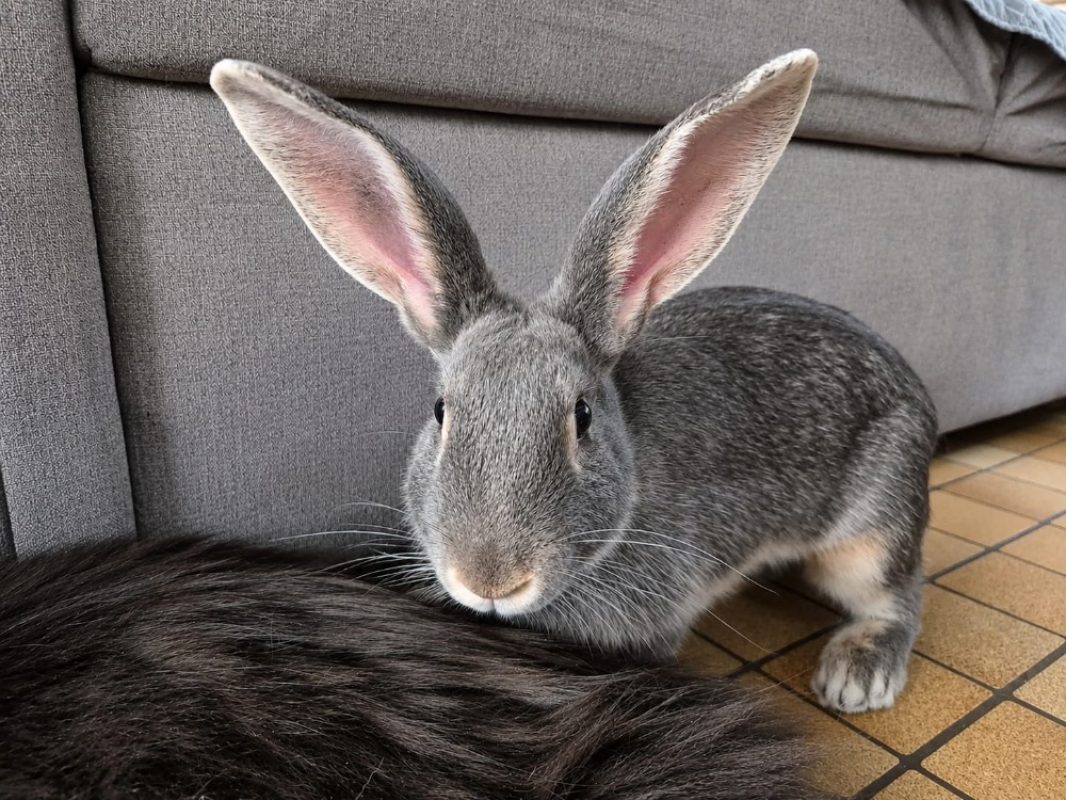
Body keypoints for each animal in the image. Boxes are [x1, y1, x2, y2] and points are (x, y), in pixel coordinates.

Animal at [211, 49, 937, 715]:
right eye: (441, 411)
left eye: (582, 417)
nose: (490, 580)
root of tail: (916, 393)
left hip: (873, 525)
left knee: (897, 593)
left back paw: (857, 676)